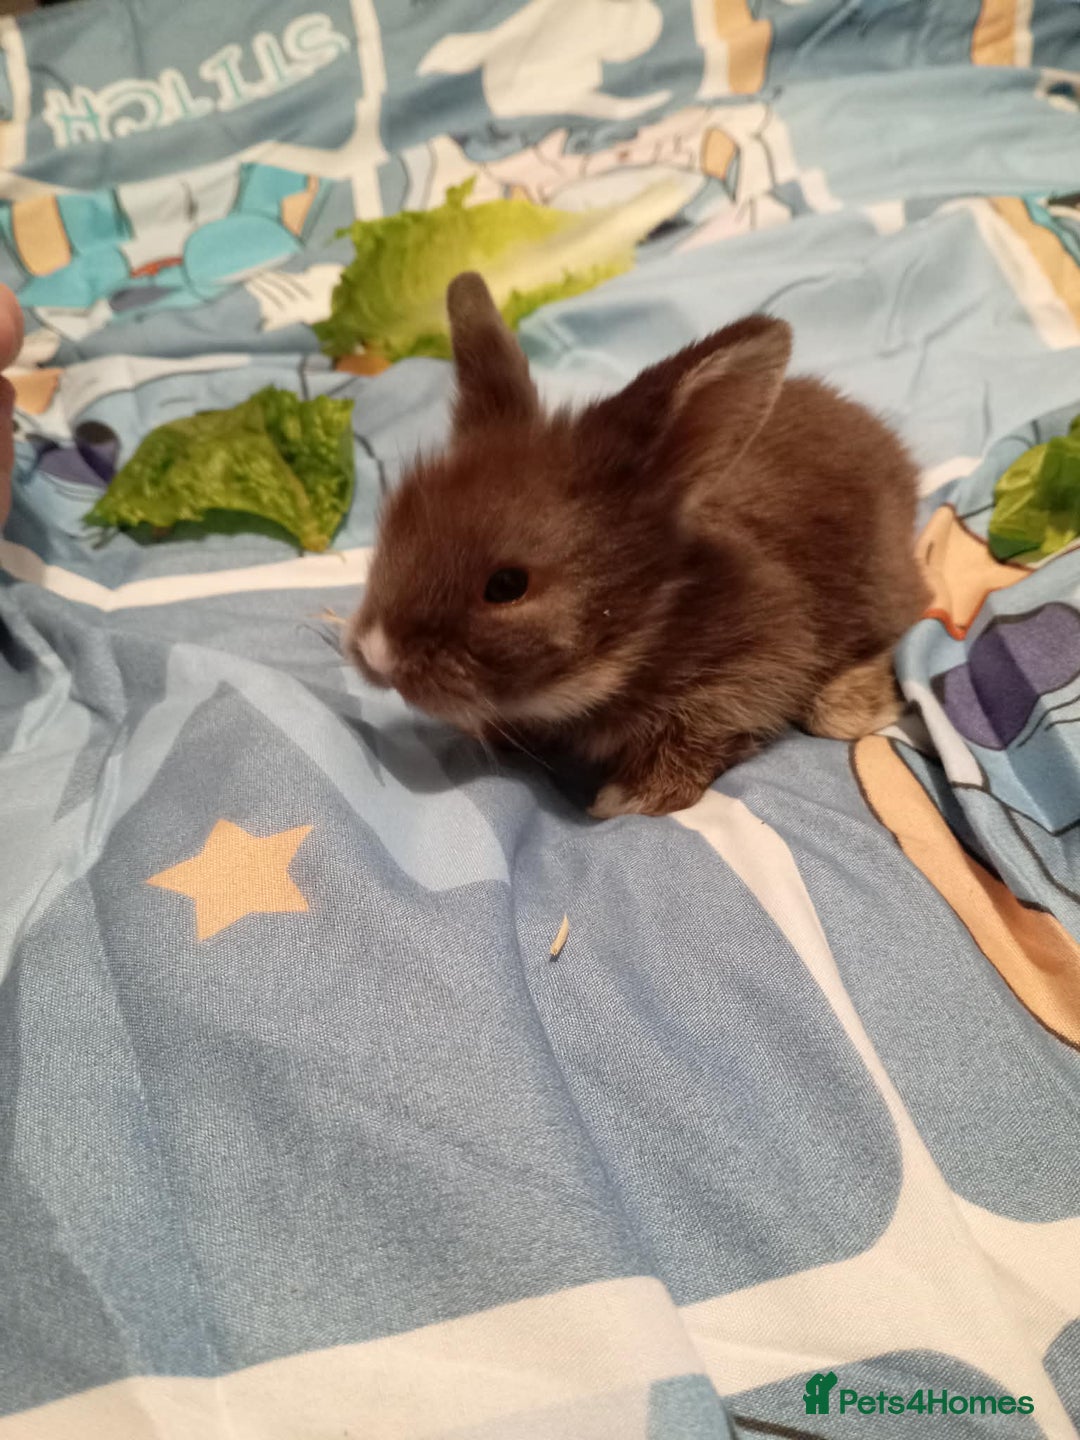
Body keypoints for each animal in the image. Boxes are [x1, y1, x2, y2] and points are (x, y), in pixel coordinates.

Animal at [347, 272, 929, 818]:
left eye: (507, 585)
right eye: (396, 524)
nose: (376, 652)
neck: (654, 617)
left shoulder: (751, 666)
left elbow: (701, 732)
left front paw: (623, 800)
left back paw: (852, 705)